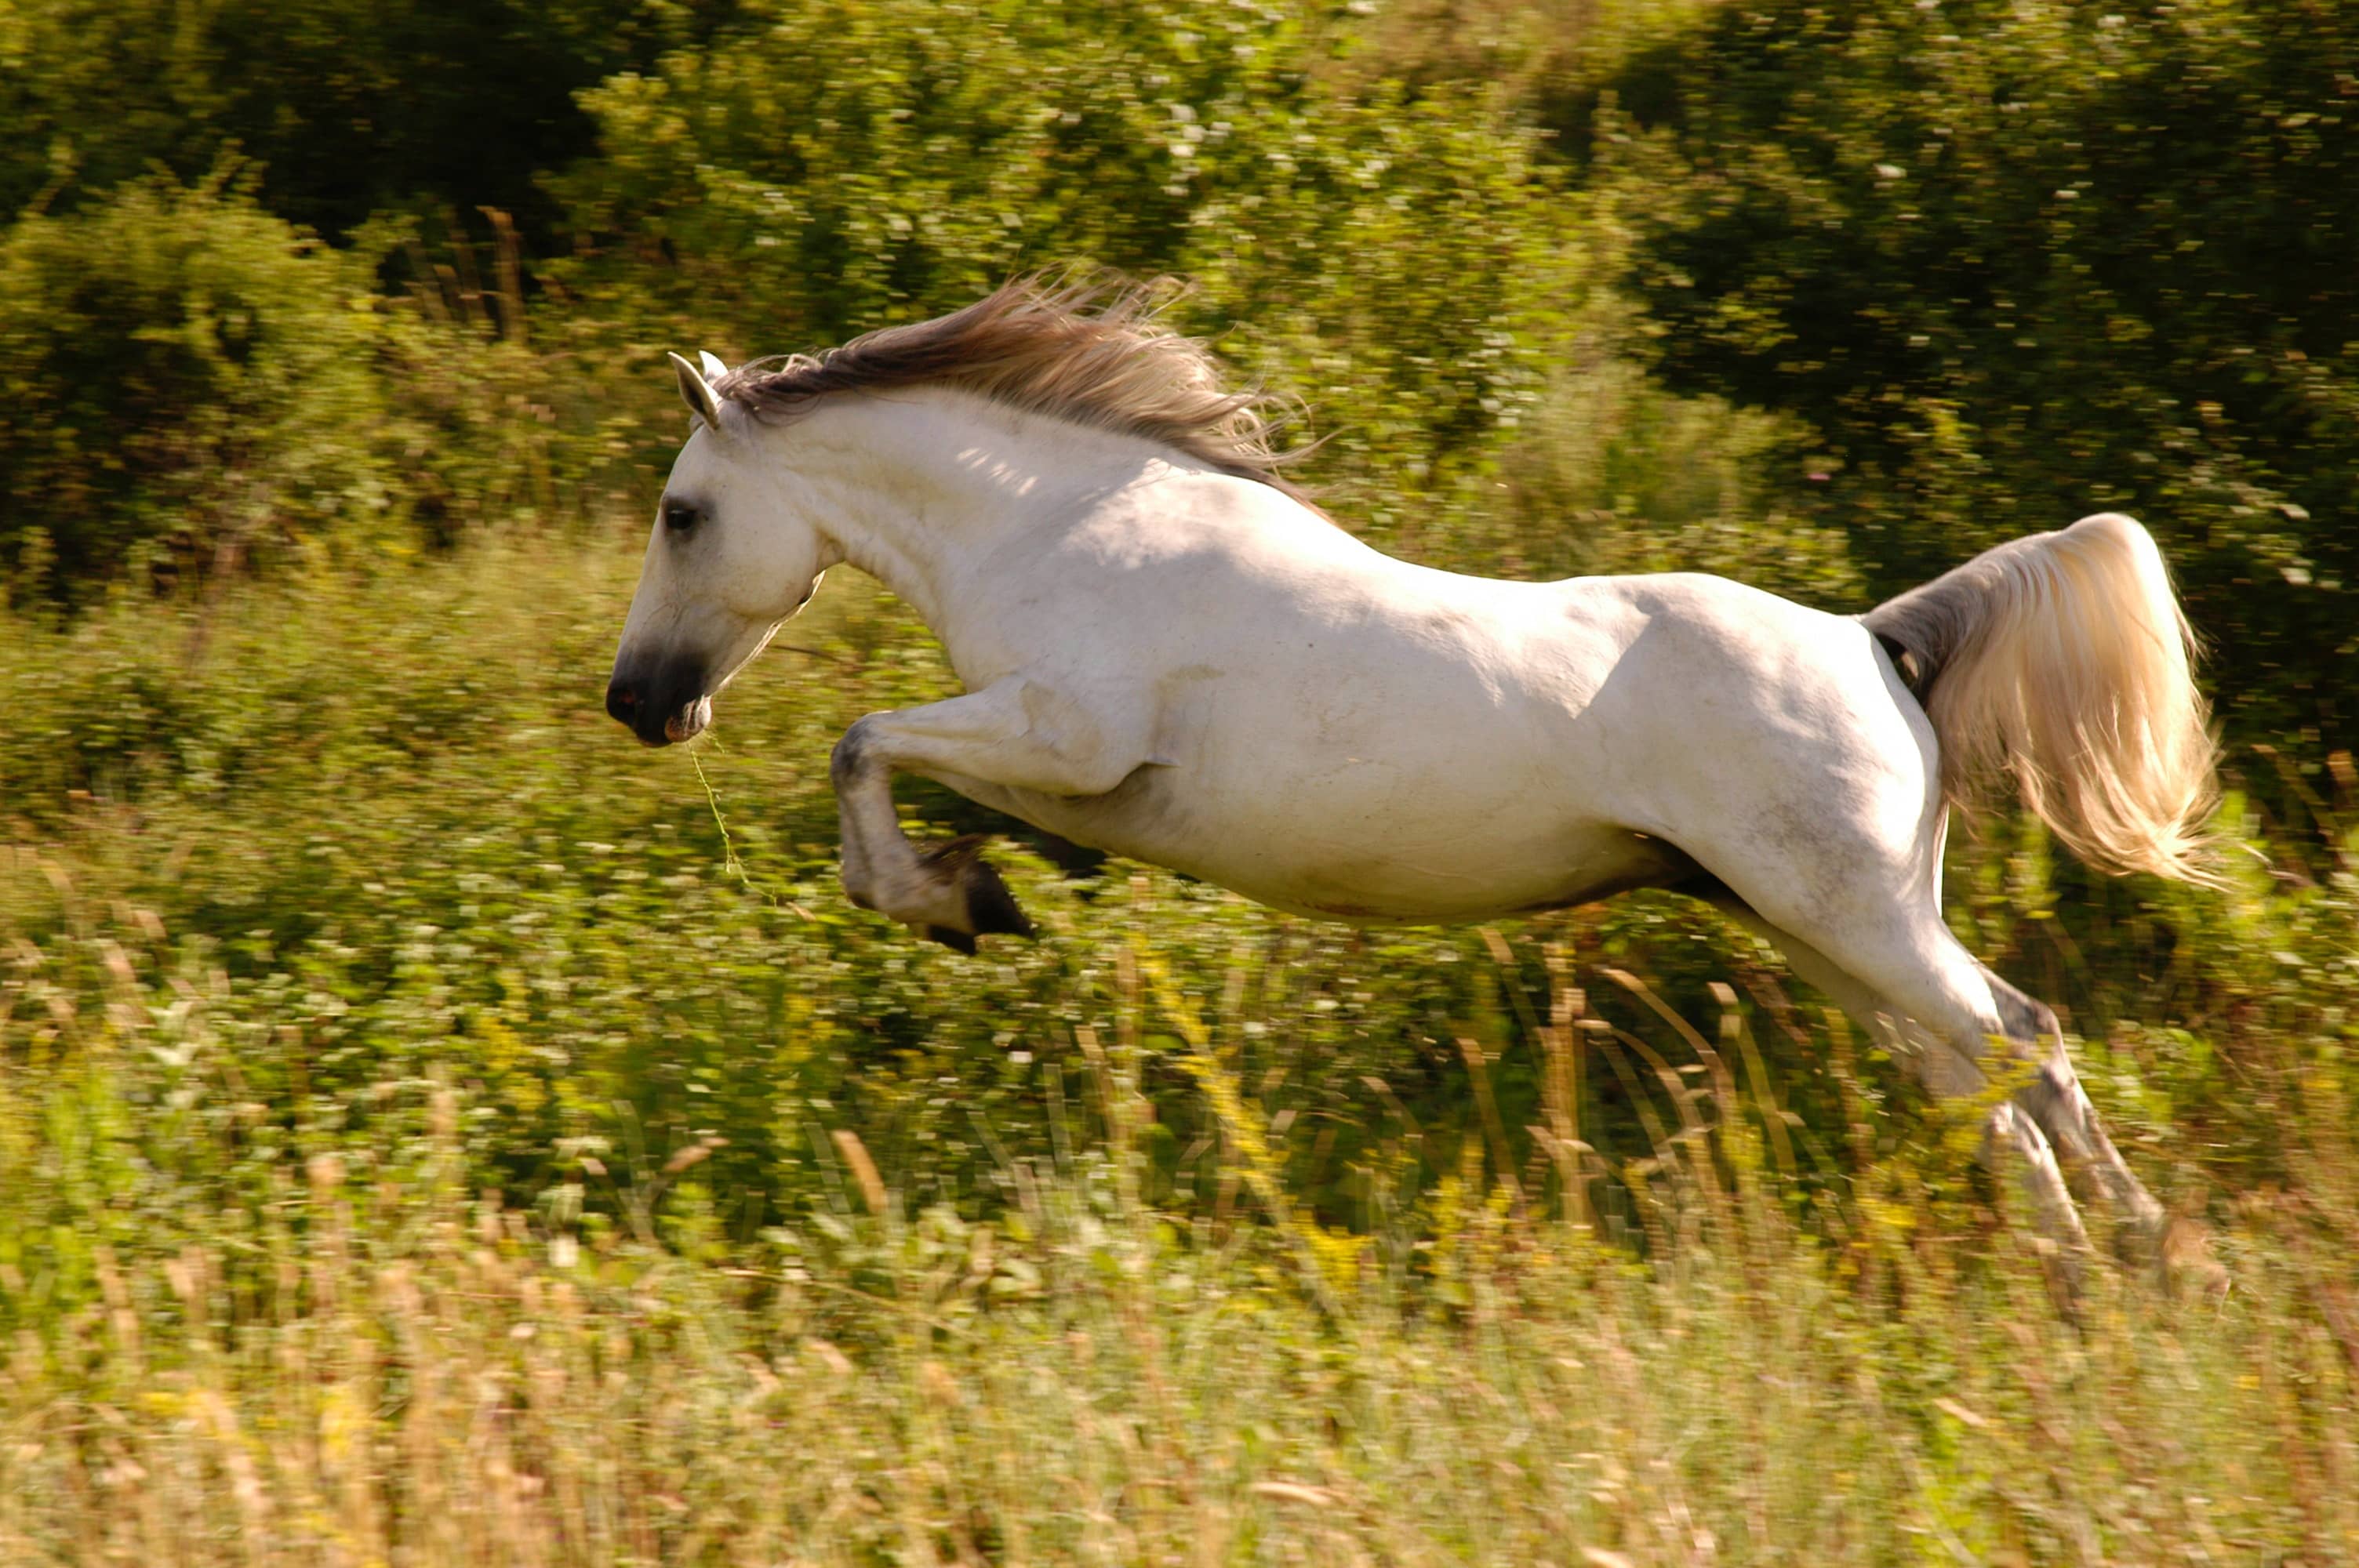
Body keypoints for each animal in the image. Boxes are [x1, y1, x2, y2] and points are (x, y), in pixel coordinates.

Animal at [604, 281, 2208, 1254]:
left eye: (683, 513)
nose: (637, 703)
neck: (1064, 527)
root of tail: (1874, 639)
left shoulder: (1068, 733)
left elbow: (863, 741)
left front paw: (948, 900)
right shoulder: (1054, 768)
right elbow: (903, 770)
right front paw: (972, 888)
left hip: (1852, 918)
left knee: (2025, 1041)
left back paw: (2141, 1262)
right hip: (1817, 930)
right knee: (1974, 1078)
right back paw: (2064, 1273)